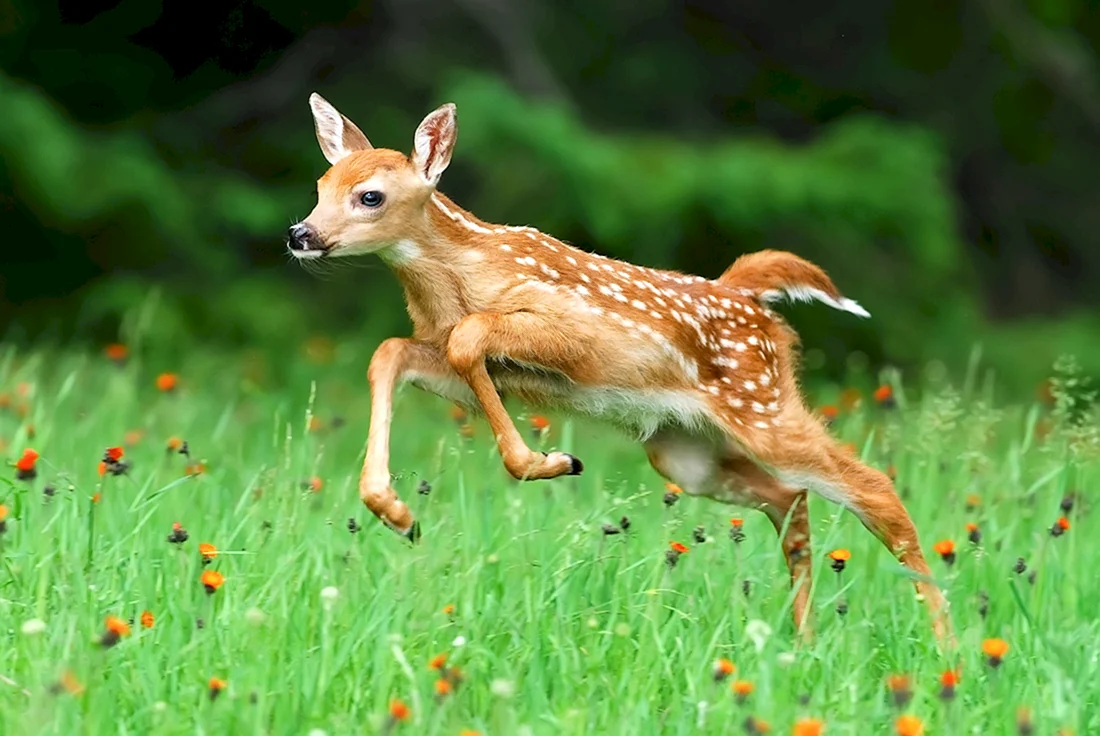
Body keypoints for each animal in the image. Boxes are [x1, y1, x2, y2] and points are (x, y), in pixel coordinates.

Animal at [288, 93, 952, 646]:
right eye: (320, 183)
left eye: (370, 195)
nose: (301, 233)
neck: (459, 280)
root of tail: (749, 297)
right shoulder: (464, 358)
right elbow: (391, 352)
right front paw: (397, 514)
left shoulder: (571, 331)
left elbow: (471, 339)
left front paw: (547, 461)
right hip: (685, 451)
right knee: (788, 498)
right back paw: (805, 639)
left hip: (762, 404)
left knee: (873, 487)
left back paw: (946, 643)